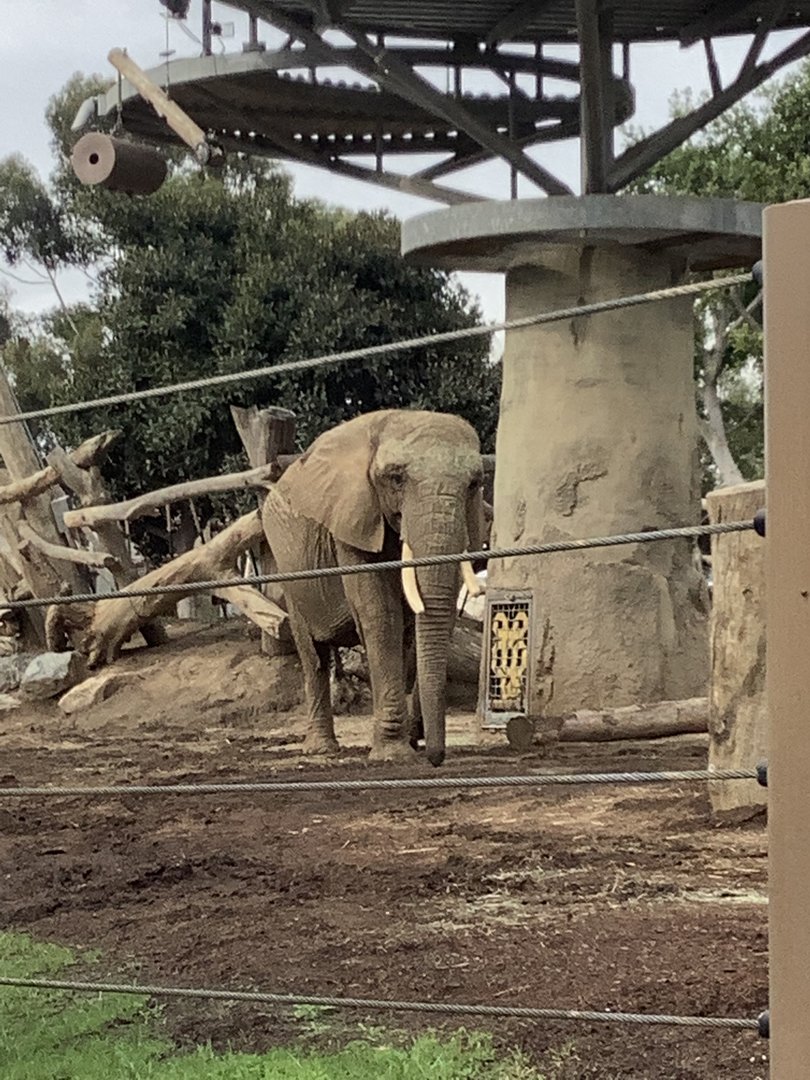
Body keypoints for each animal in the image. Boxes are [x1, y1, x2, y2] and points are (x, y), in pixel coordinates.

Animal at [261, 409, 485, 767]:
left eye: (475, 484)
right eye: (395, 478)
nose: (435, 757)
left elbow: (424, 621)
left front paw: (408, 744)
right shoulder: (352, 520)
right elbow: (381, 613)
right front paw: (393, 755)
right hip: (289, 572)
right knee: (313, 654)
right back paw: (321, 750)